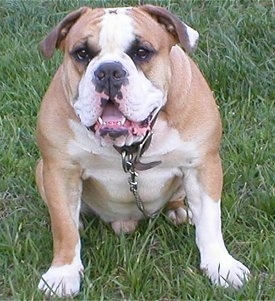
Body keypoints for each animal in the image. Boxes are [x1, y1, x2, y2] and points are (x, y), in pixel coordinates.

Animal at [35, 4, 250, 296]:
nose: (109, 71)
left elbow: (210, 221)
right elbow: (63, 226)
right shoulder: (59, 169)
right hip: (41, 170)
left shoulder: (202, 166)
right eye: (82, 53)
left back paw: (180, 211)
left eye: (141, 52)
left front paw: (220, 265)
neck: (128, 146)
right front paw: (62, 273)